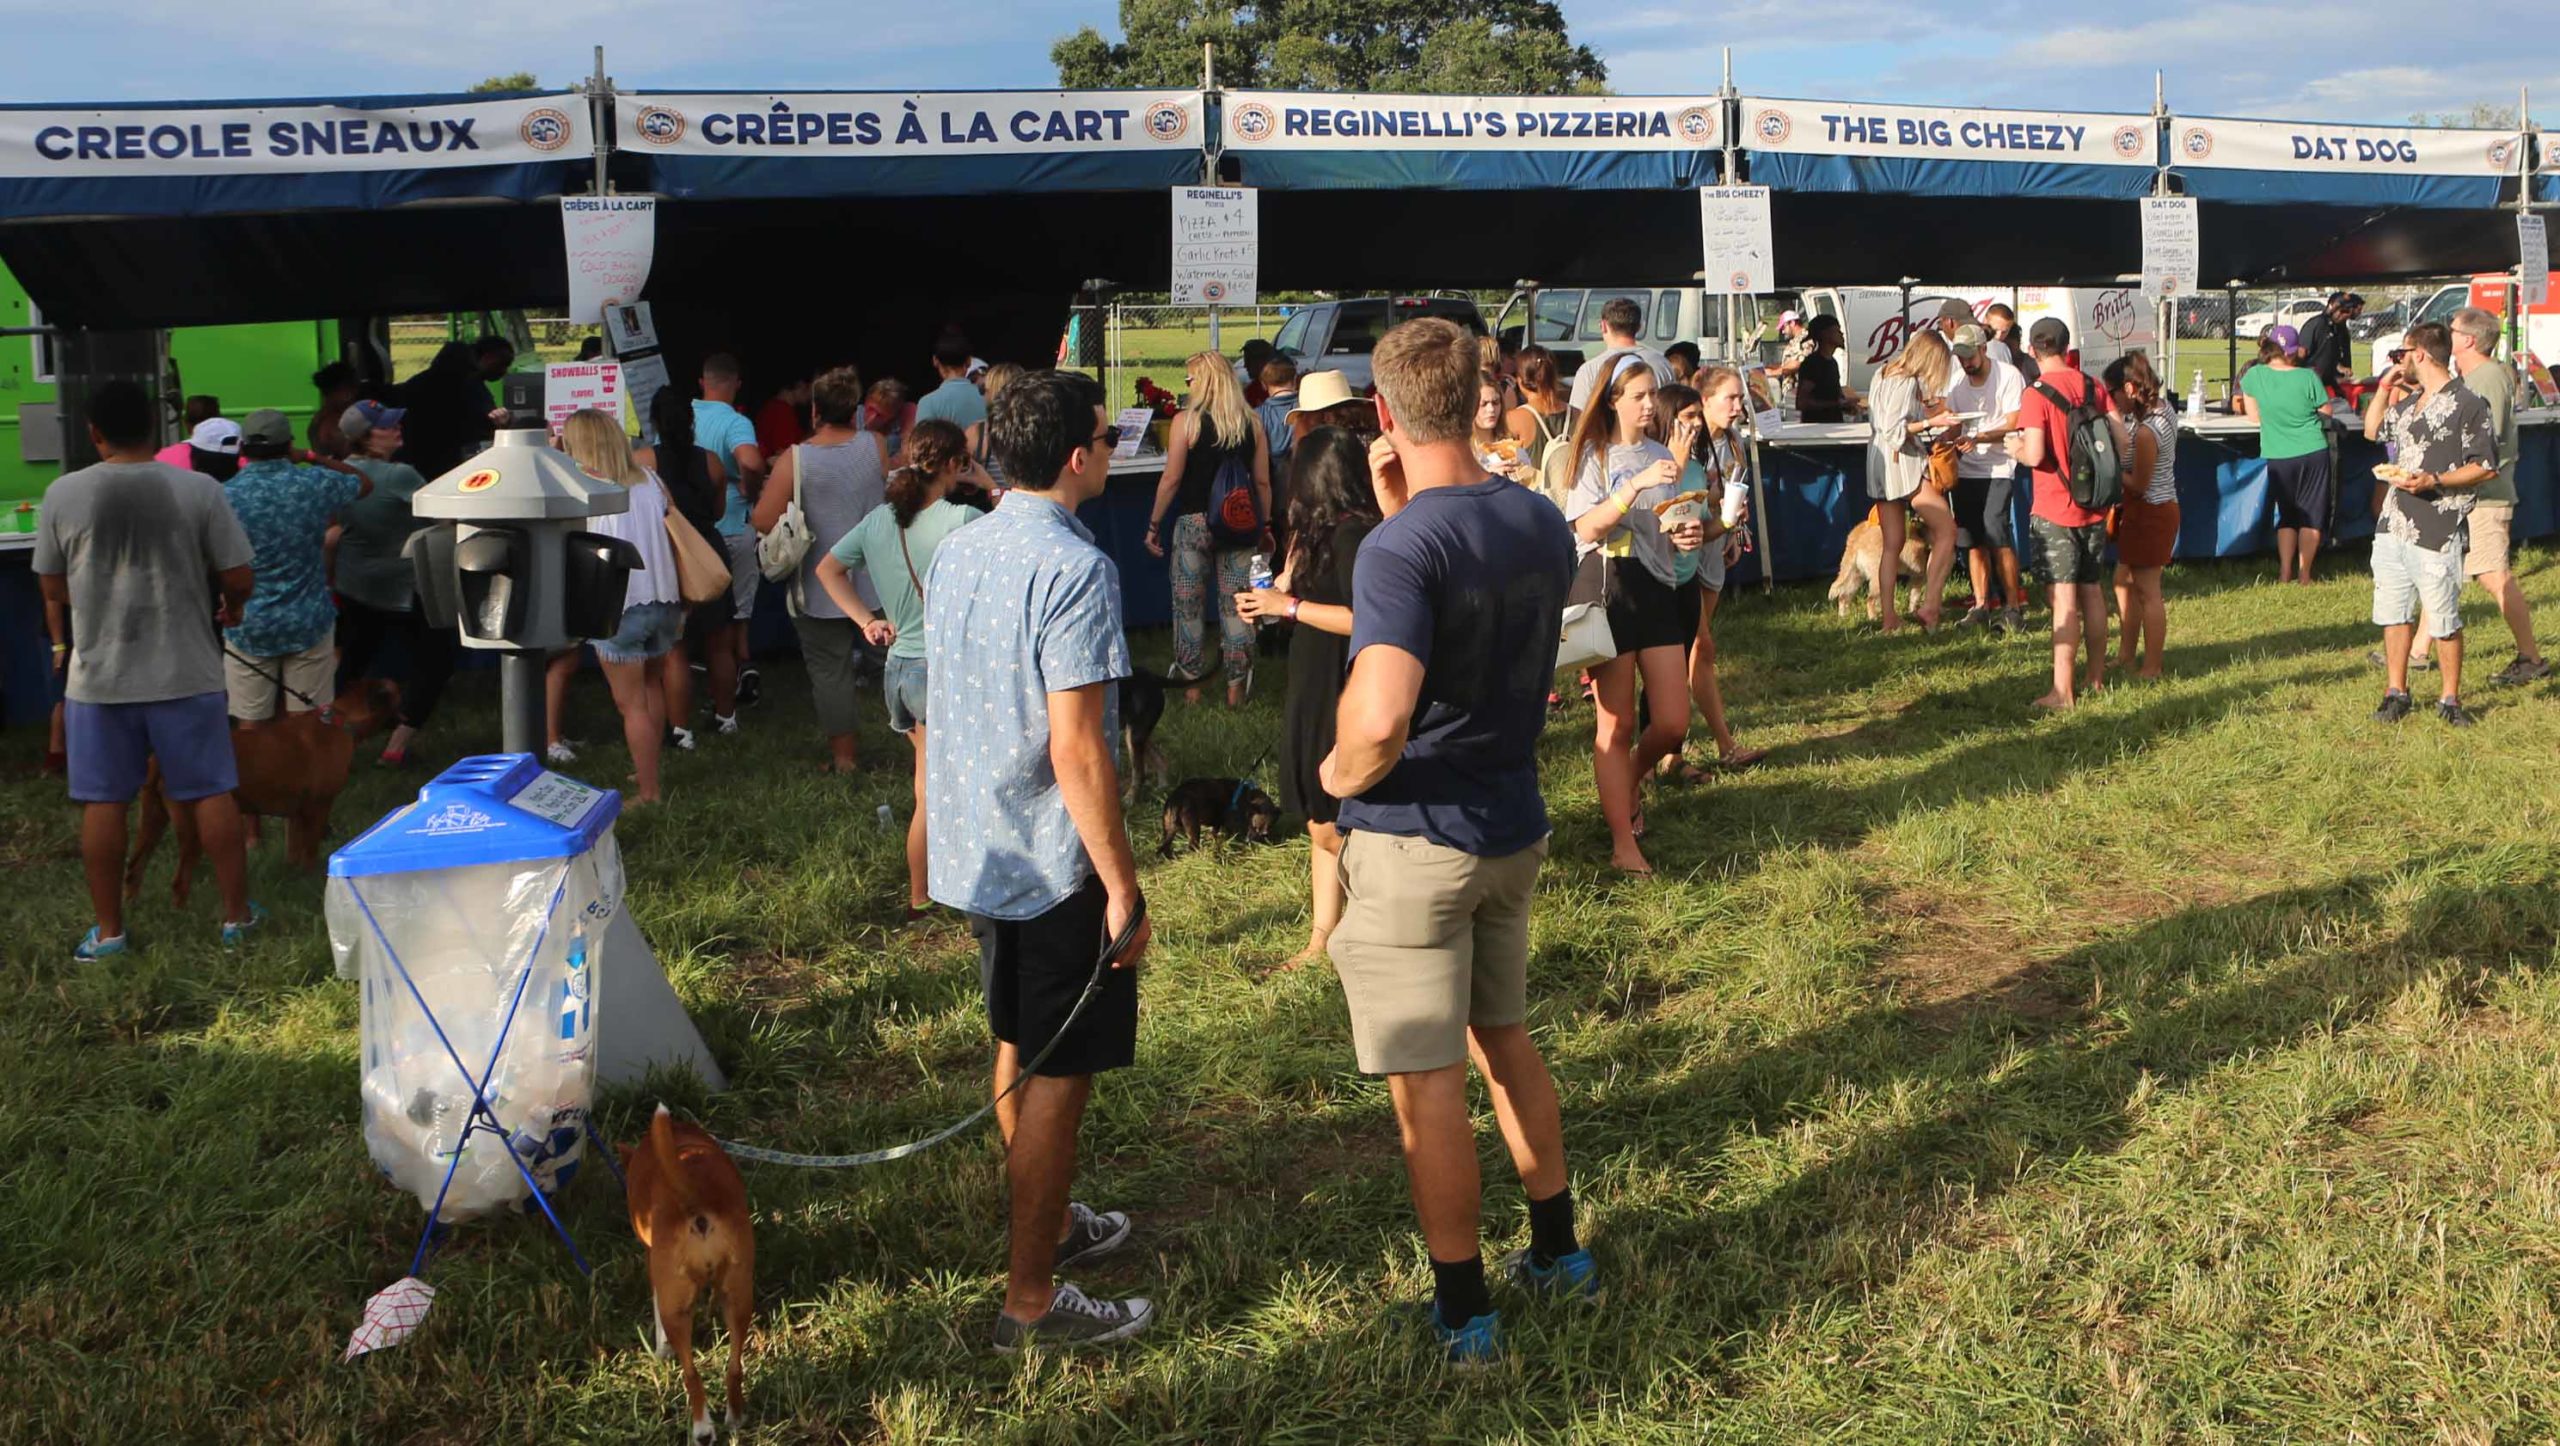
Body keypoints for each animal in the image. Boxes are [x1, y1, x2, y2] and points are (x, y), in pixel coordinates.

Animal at [125, 675, 399, 900]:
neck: (341, 719)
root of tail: (158, 760)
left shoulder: (297, 813)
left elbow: (295, 847)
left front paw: (295, 875)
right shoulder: (318, 806)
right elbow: (310, 850)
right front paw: (312, 877)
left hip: (152, 821)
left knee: (134, 868)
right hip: (191, 829)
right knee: (179, 882)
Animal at [624, 1105, 752, 1433]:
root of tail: (693, 1193)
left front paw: (661, 1350)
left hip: (676, 1309)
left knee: (692, 1375)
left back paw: (702, 1430)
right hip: (738, 1297)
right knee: (734, 1367)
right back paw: (735, 1418)